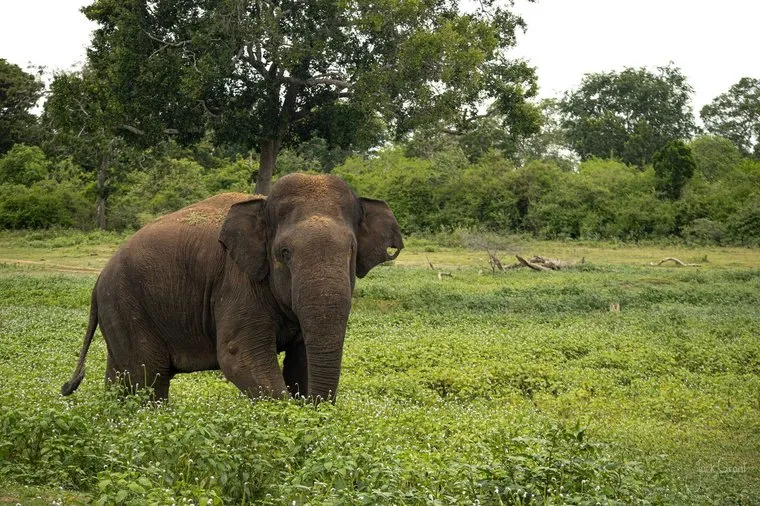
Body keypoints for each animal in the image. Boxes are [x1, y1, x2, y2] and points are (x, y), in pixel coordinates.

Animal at [61, 173, 403, 401]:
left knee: (122, 376)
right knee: (147, 377)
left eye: (351, 252)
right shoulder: (237, 282)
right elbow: (239, 356)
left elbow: (302, 357)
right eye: (284, 254)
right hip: (126, 304)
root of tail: (98, 280)